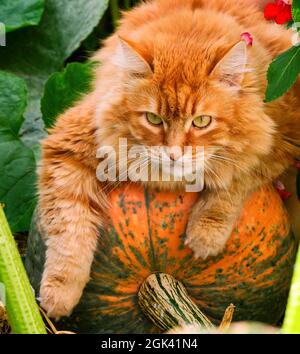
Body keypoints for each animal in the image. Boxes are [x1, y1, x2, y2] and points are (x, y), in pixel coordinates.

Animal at [38, 0, 300, 316]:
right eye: (153, 119)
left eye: (201, 122)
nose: (174, 154)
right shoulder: (70, 145)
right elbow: (69, 233)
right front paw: (59, 294)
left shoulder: (282, 135)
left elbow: (235, 179)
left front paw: (205, 233)